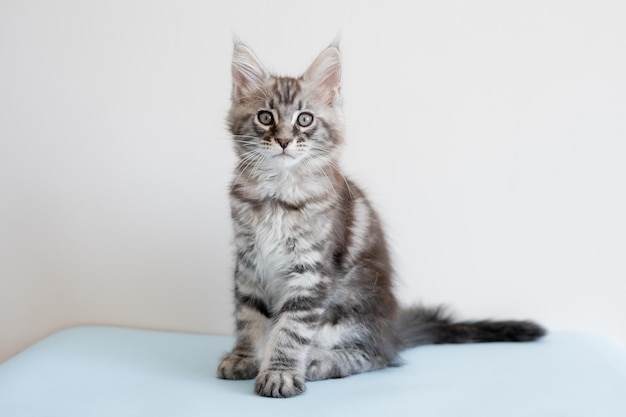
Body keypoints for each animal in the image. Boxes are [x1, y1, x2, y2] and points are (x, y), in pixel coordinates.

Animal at [216, 42, 540, 396]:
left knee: (375, 356)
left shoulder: (311, 271)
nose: (285, 141)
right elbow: (249, 317)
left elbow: (291, 330)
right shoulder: (249, 263)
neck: (277, 192)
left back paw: (318, 361)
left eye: (304, 119)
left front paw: (280, 374)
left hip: (353, 302)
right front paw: (244, 358)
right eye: (265, 117)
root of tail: (393, 330)